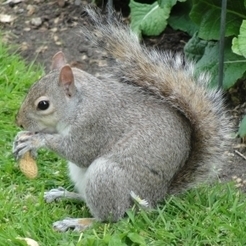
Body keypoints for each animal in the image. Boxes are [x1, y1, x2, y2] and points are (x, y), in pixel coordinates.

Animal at [13, 9, 233, 233]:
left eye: (43, 105)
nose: (19, 122)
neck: (80, 104)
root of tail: (157, 199)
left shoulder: (95, 125)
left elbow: (78, 151)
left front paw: (35, 140)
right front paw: (21, 138)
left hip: (105, 176)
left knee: (110, 218)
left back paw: (78, 223)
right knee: (88, 199)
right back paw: (63, 195)